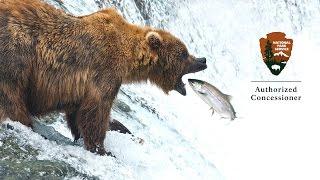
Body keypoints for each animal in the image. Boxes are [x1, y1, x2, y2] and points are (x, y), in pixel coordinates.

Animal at [0, 0, 208, 155]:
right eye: (184, 54)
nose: (202, 60)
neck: (129, 56)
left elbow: (79, 112)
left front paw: (117, 129)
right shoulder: (104, 70)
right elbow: (96, 110)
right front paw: (102, 149)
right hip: (17, 51)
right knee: (11, 93)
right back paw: (25, 121)